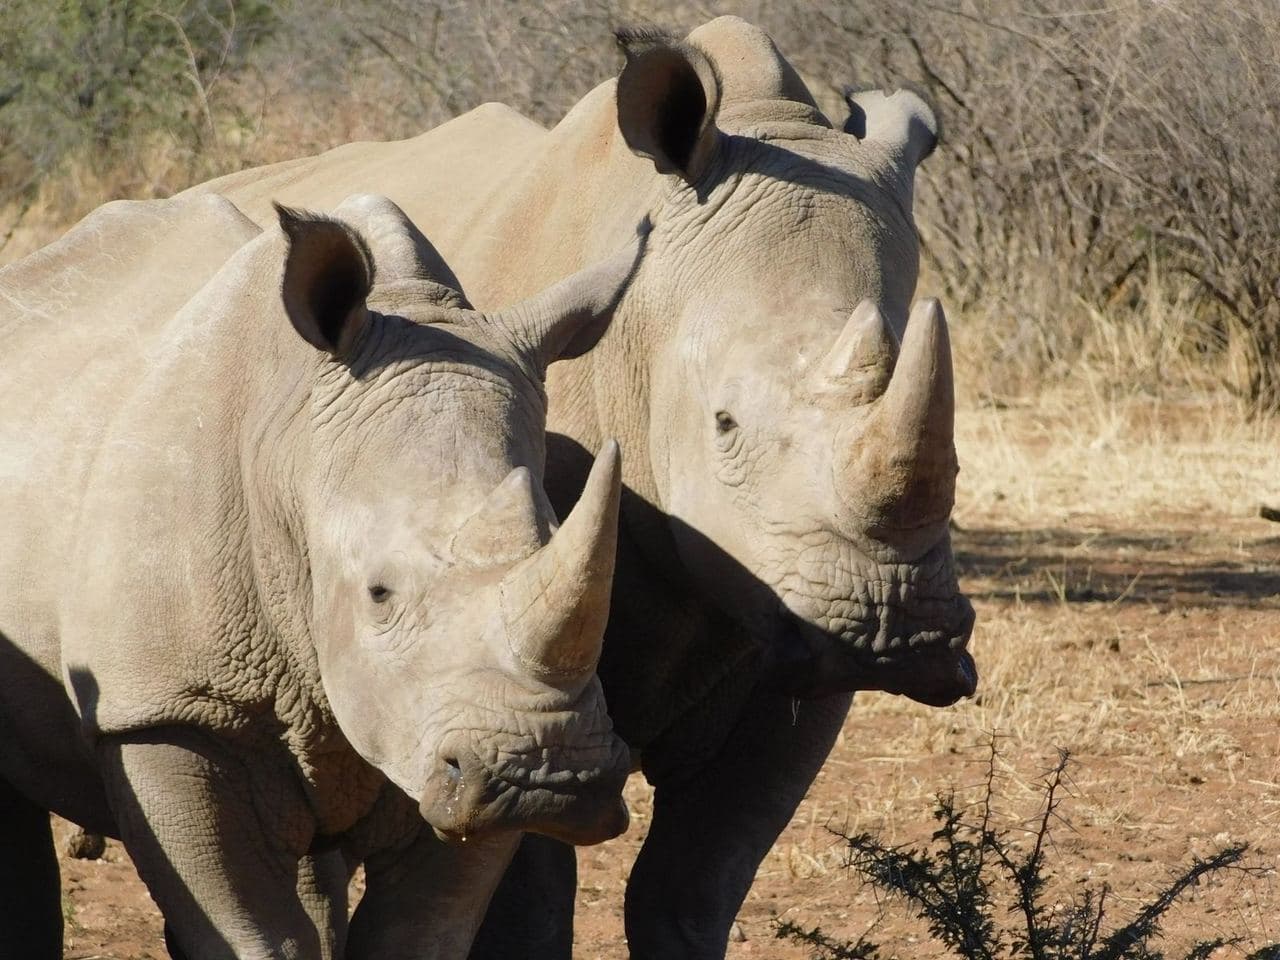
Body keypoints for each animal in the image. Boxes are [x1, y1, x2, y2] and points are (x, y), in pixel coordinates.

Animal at [0, 191, 645, 958]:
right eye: (378, 593)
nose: (550, 776)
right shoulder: (165, 709)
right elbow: (252, 935)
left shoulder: (440, 731)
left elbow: (420, 931)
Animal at [187, 16, 977, 959]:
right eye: (724, 425)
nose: (900, 630)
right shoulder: (506, 675)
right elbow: (530, 890)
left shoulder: (795, 638)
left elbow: (693, 887)